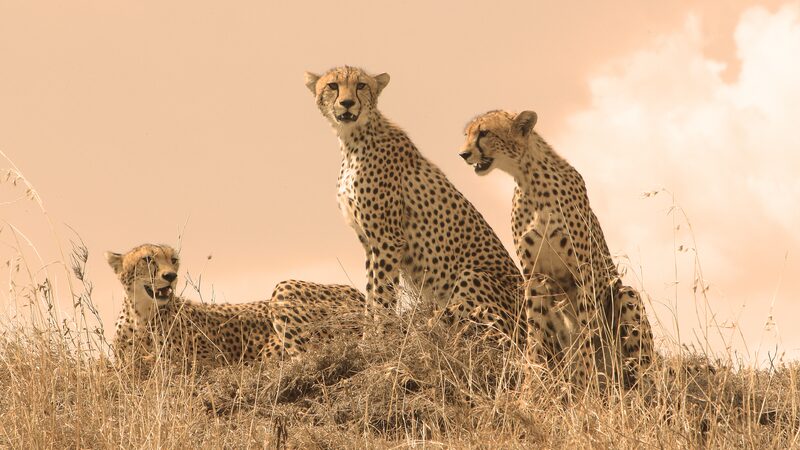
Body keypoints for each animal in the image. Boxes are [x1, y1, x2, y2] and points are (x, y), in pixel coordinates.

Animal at [107, 243, 365, 370]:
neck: (141, 316)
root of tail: (360, 294)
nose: (171, 276)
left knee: (308, 358)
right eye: (147, 259)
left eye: (173, 260)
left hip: (283, 291)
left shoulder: (208, 362)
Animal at [459, 109, 654, 388]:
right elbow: (535, 330)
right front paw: (531, 384)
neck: (529, 179)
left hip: (626, 297)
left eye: (484, 133)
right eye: (467, 134)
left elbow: (584, 330)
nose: (463, 154)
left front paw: (585, 382)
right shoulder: (535, 275)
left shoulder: (583, 272)